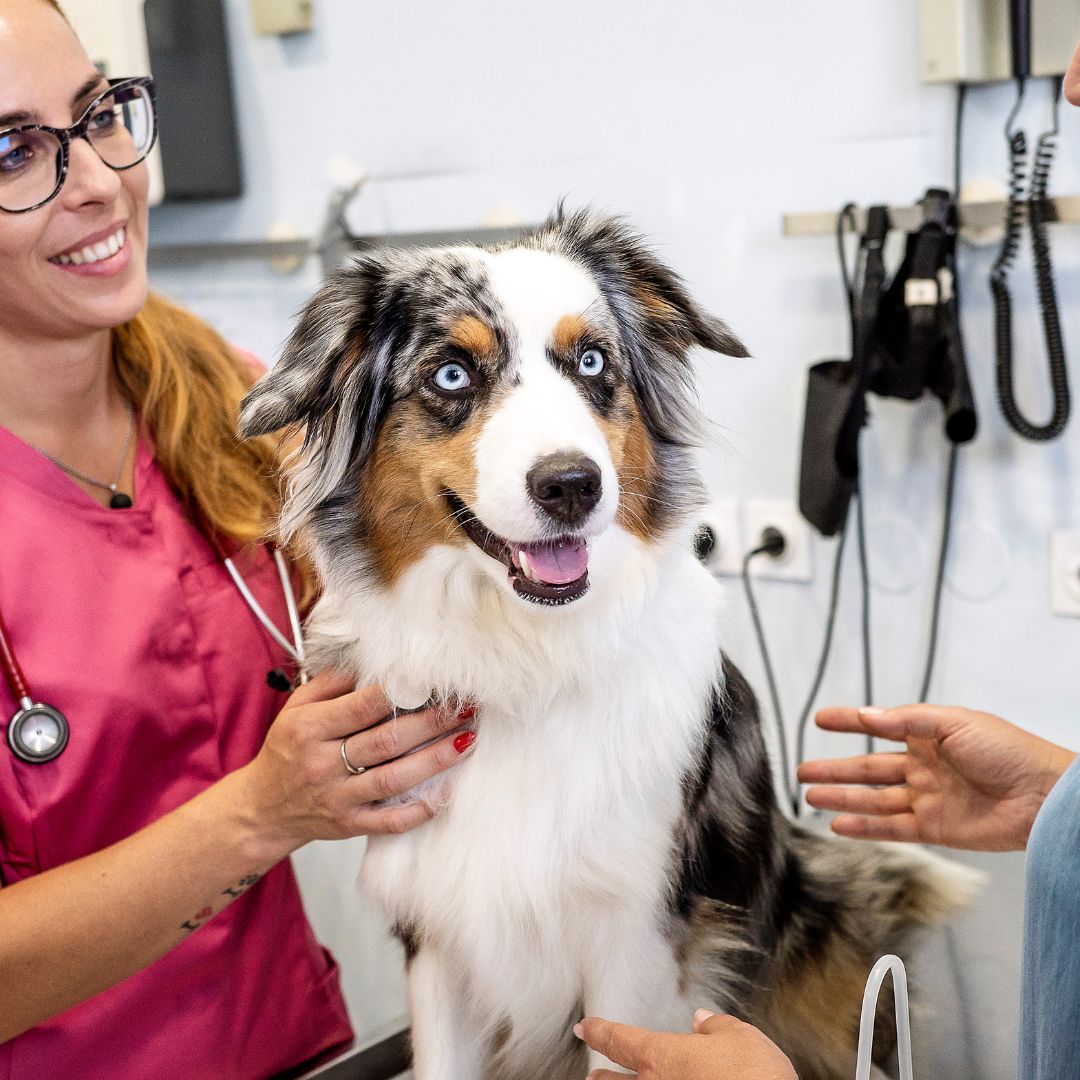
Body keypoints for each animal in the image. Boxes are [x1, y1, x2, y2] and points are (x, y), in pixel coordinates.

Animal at [243, 206, 980, 1075]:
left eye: (592, 360)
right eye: (451, 375)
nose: (571, 484)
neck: (525, 656)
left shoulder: (636, 942)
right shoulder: (436, 938)